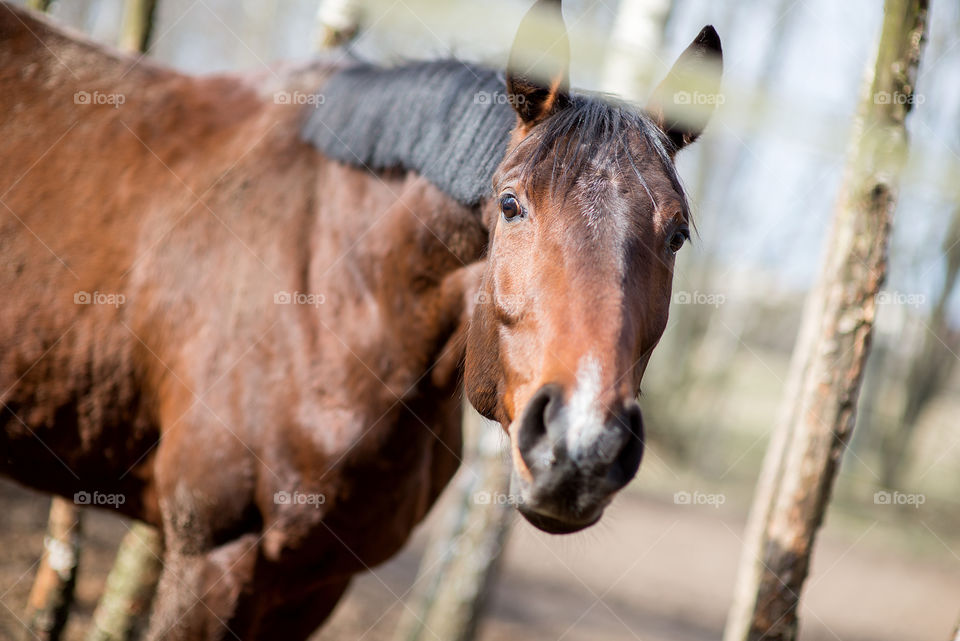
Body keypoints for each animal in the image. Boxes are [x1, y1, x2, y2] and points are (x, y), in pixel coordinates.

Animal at [0, 1, 720, 636]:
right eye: (511, 204)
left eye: (676, 234)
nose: (582, 448)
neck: (331, 286)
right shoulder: (212, 558)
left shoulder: (311, 583)